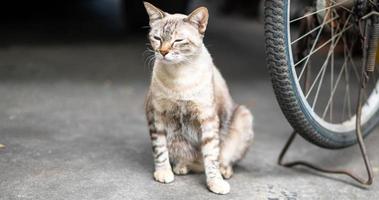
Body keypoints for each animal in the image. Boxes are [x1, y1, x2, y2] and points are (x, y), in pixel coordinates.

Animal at [143, 1, 255, 195]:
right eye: (157, 38)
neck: (179, 76)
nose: (163, 52)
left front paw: (215, 183)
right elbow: (160, 149)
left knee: (222, 158)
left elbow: (211, 156)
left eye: (178, 41)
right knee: (189, 159)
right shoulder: (156, 114)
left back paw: (224, 171)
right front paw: (163, 172)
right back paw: (181, 166)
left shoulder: (207, 118)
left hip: (243, 115)